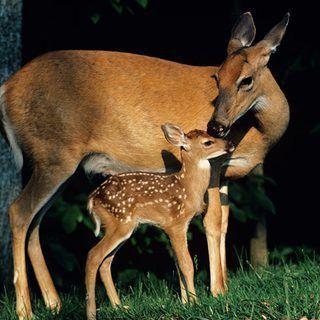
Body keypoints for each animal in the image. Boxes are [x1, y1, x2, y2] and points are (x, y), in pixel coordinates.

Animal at [0, 12, 290, 320]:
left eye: (246, 80)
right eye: (216, 77)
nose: (216, 126)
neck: (258, 131)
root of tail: (6, 89)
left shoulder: (224, 173)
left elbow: (224, 222)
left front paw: (217, 288)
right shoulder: (215, 166)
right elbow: (211, 222)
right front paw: (216, 292)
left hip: (58, 165)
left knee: (36, 221)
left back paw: (53, 303)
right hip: (54, 155)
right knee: (19, 212)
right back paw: (25, 309)